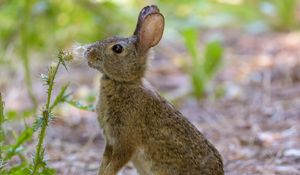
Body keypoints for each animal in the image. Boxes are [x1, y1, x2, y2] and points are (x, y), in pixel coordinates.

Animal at [83, 4, 224, 174]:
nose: (88, 52)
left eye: (117, 48)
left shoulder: (126, 142)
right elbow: (104, 164)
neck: (124, 83)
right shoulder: (110, 142)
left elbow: (113, 166)